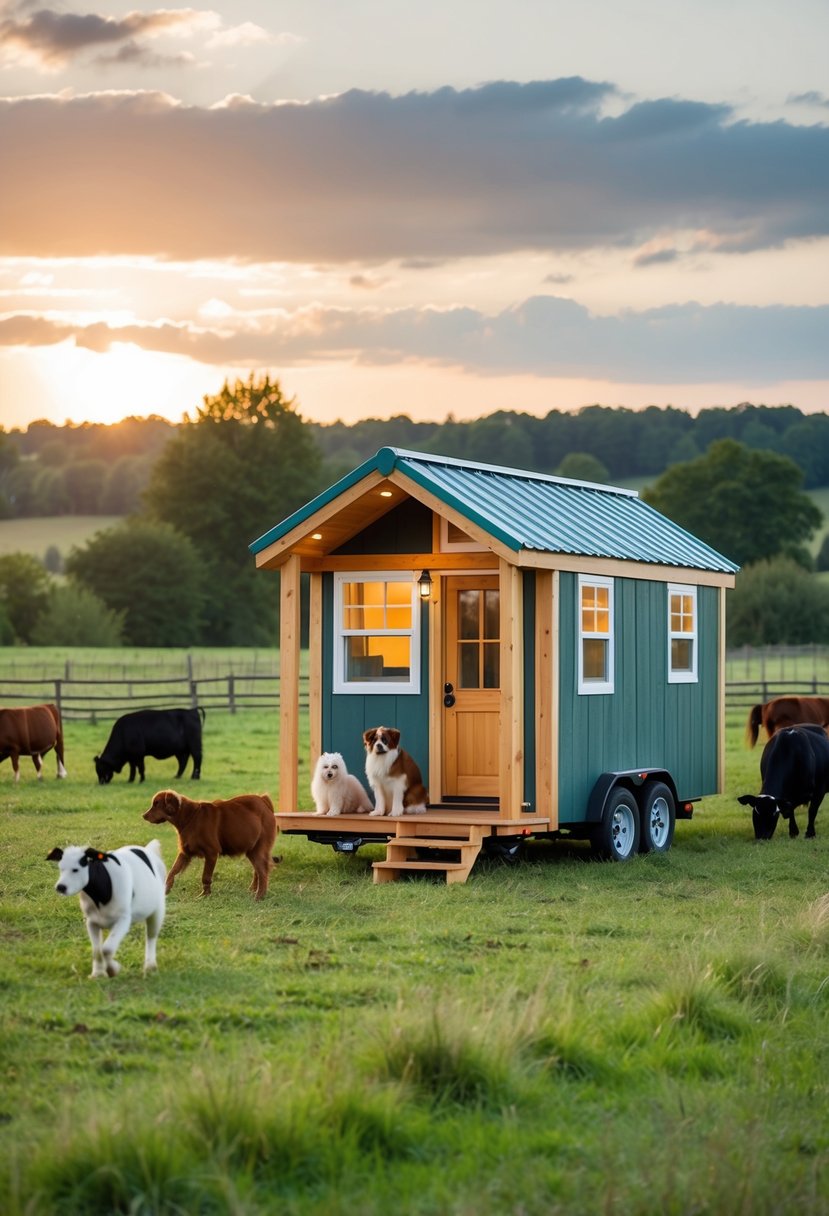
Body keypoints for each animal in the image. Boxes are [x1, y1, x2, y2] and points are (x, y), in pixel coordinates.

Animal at [47, 836, 166, 977]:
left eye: (76, 869)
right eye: (61, 868)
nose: (60, 887)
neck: (100, 896)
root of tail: (147, 849)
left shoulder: (123, 920)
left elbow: (107, 949)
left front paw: (113, 969)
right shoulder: (91, 922)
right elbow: (97, 950)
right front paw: (98, 973)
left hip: (158, 910)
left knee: (151, 937)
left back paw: (150, 966)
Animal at [143, 787, 275, 904]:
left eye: (156, 804)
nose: (143, 816)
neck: (190, 817)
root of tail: (263, 800)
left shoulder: (211, 853)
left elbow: (205, 877)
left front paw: (204, 895)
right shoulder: (185, 853)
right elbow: (172, 871)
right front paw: (165, 891)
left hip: (258, 848)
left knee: (263, 871)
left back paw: (259, 896)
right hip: (252, 850)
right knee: (258, 871)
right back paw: (253, 890)